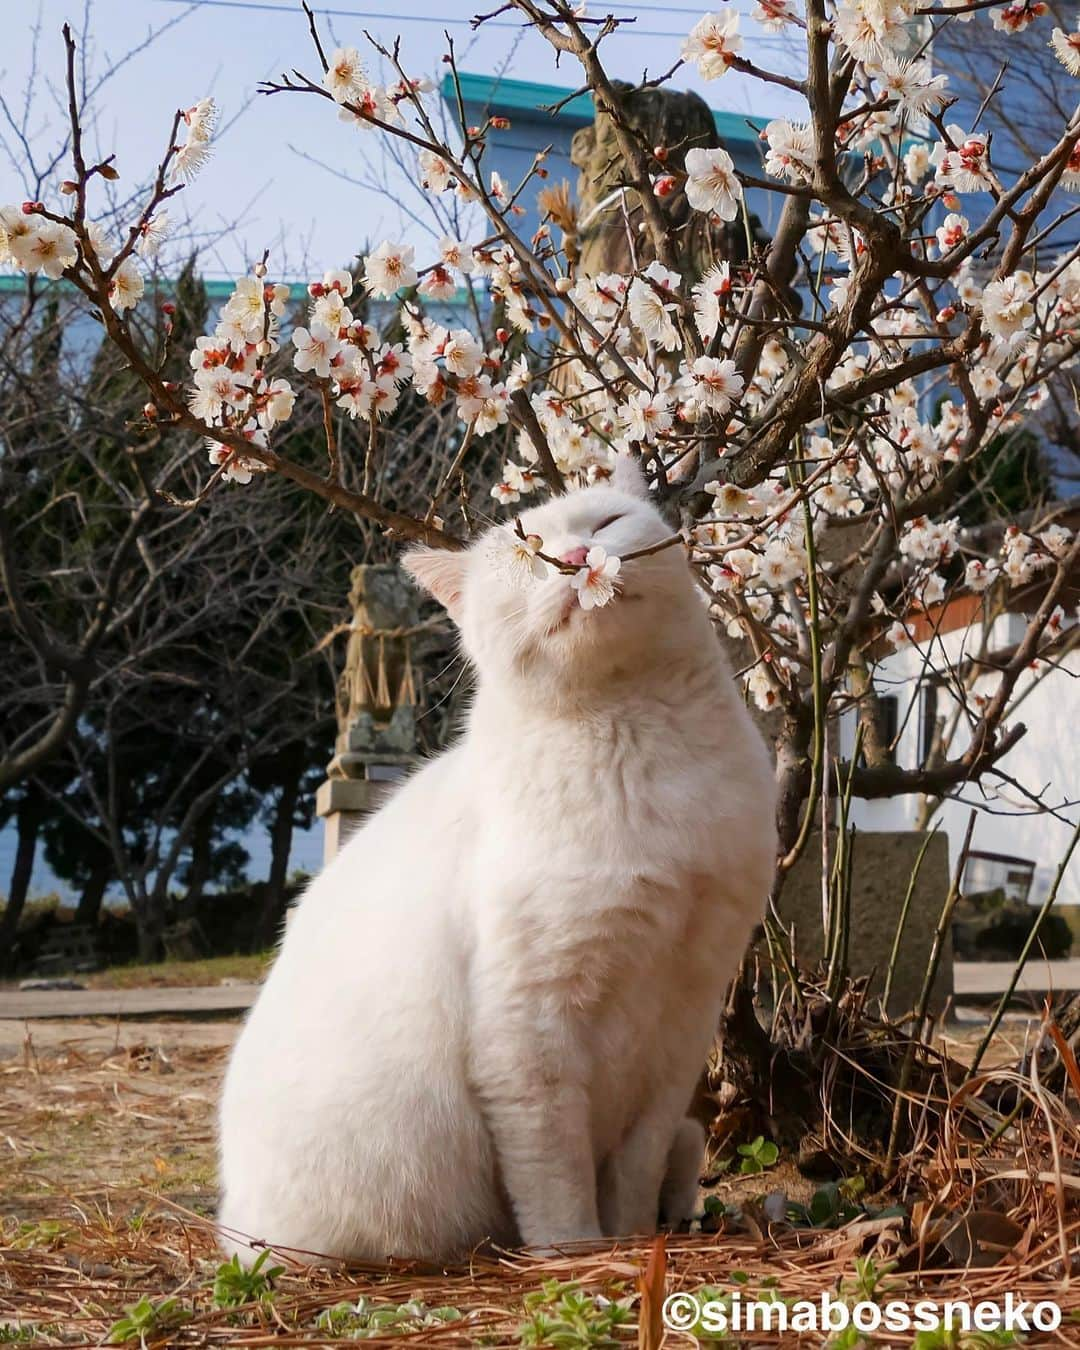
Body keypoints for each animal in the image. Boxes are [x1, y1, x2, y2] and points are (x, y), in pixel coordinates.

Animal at [217, 464, 777, 1263]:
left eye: (605, 524)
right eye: (526, 554)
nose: (575, 559)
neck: (640, 741)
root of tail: (230, 1218)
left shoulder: (684, 1016)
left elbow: (633, 1169)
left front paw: (630, 1242)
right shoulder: (526, 1024)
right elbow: (554, 1171)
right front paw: (577, 1254)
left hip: (689, 1126)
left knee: (676, 1158)